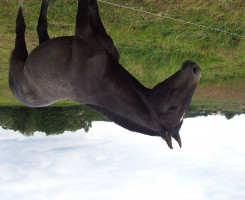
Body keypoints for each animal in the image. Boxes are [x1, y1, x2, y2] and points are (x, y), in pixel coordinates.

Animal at [9, 0, 201, 148]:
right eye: (173, 108)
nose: (196, 69)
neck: (103, 79)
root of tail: (14, 90)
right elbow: (92, 5)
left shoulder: (83, 31)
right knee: (36, 25)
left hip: (22, 56)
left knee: (24, 26)